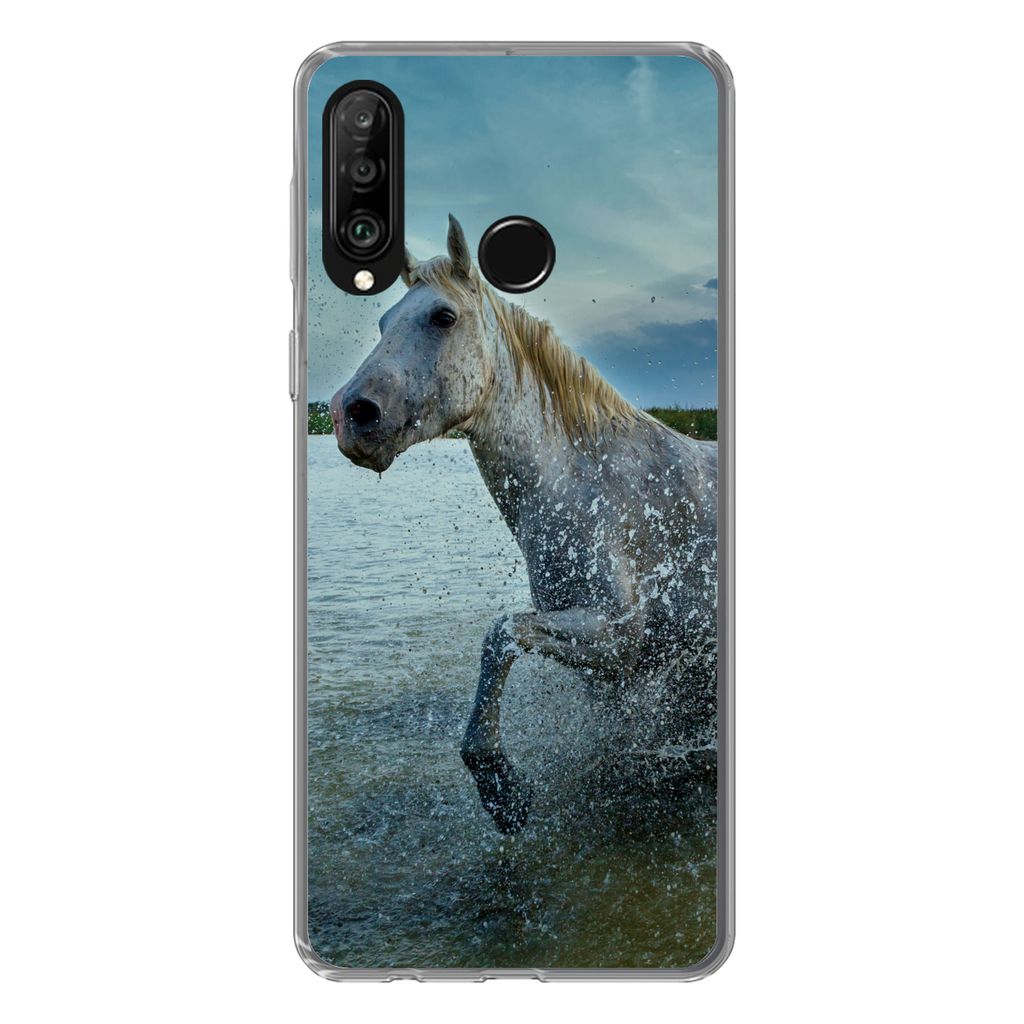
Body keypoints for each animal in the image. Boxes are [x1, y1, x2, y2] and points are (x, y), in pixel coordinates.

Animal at [330, 215, 718, 833]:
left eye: (443, 316)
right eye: (383, 321)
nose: (351, 414)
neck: (586, 485)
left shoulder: (619, 638)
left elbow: (501, 635)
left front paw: (499, 786)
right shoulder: (608, 668)